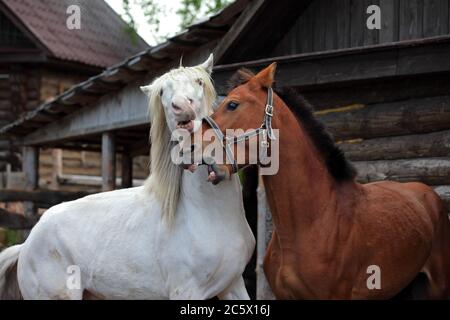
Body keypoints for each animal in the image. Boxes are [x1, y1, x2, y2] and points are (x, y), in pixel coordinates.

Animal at [0, 54, 255, 300]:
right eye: (162, 92)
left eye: (199, 82)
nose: (182, 107)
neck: (205, 211)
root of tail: (26, 244)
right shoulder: (186, 291)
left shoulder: (232, 285)